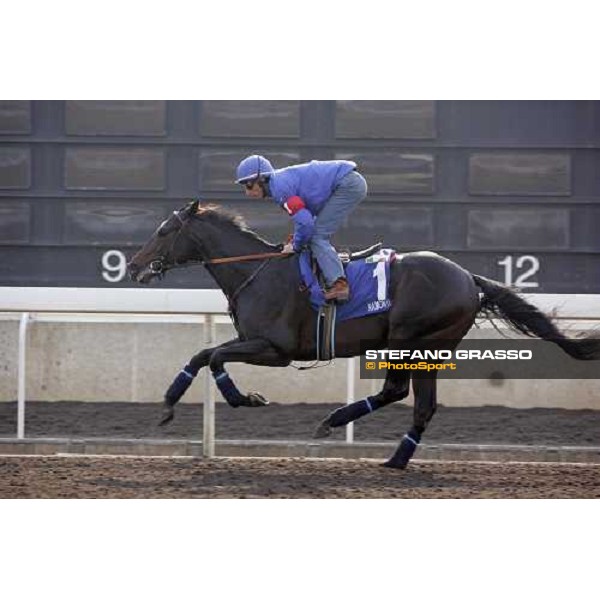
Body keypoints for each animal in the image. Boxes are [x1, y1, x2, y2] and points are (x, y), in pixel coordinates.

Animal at [127, 202, 600, 468]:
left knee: (398, 391)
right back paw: (394, 459)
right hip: (431, 347)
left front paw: (244, 399)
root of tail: (470, 278)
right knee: (421, 405)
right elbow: (202, 356)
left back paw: (339, 424)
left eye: (164, 231)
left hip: (410, 339)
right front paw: (172, 405)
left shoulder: (275, 348)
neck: (256, 273)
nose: (133, 266)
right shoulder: (257, 343)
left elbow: (212, 357)